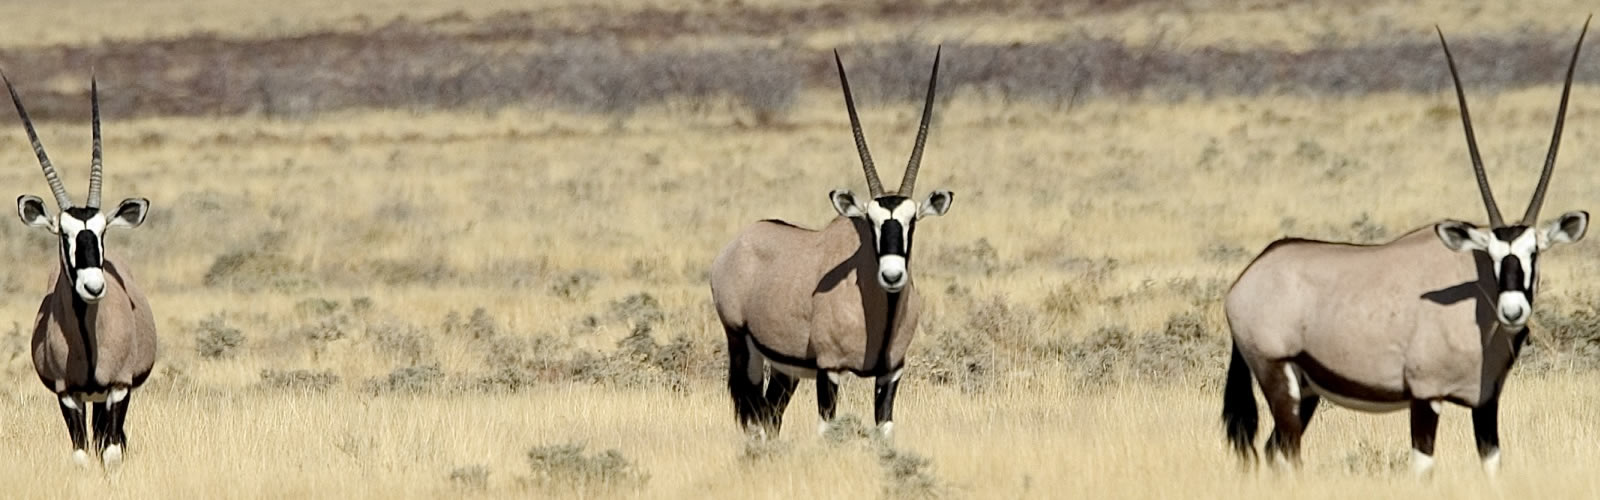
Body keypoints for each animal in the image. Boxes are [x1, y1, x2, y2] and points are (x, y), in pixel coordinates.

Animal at [5, 74, 156, 467]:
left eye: (103, 232)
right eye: (64, 234)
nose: (93, 286)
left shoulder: (118, 388)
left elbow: (111, 453)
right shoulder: (67, 394)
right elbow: (82, 455)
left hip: (108, 397)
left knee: (110, 438)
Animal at [710, 46, 947, 435]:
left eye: (911, 221)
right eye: (870, 222)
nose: (892, 276)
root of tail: (737, 244)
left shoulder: (891, 373)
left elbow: (884, 431)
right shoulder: (829, 370)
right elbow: (827, 429)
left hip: (785, 367)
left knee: (771, 415)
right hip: (743, 346)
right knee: (755, 416)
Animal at [1222, 22, 1587, 477]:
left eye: (1534, 252)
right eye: (1492, 255)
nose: (1512, 310)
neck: (1475, 305)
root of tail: (1246, 279)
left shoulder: (1485, 402)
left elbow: (1492, 466)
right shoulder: (1425, 396)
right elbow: (1422, 468)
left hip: (1306, 391)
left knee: (1275, 452)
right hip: (1278, 377)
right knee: (1287, 453)